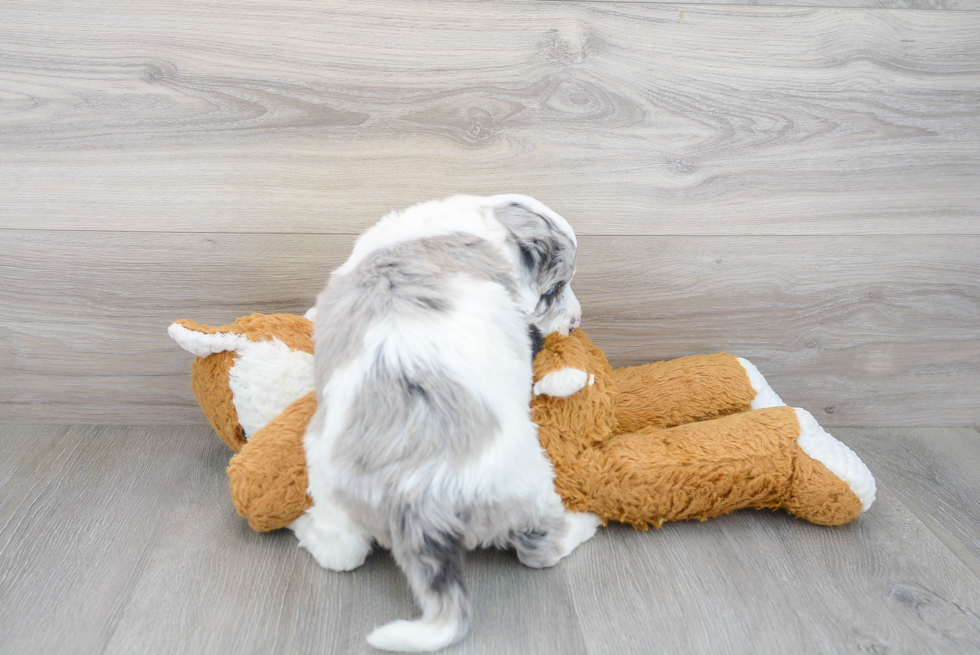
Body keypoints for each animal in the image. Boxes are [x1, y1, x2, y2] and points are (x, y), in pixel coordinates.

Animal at [302, 193, 600, 652]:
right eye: (553, 290)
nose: (576, 323)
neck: (480, 221)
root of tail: (418, 499)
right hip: (529, 486)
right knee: (539, 549)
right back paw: (583, 525)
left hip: (326, 478)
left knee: (342, 553)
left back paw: (307, 532)